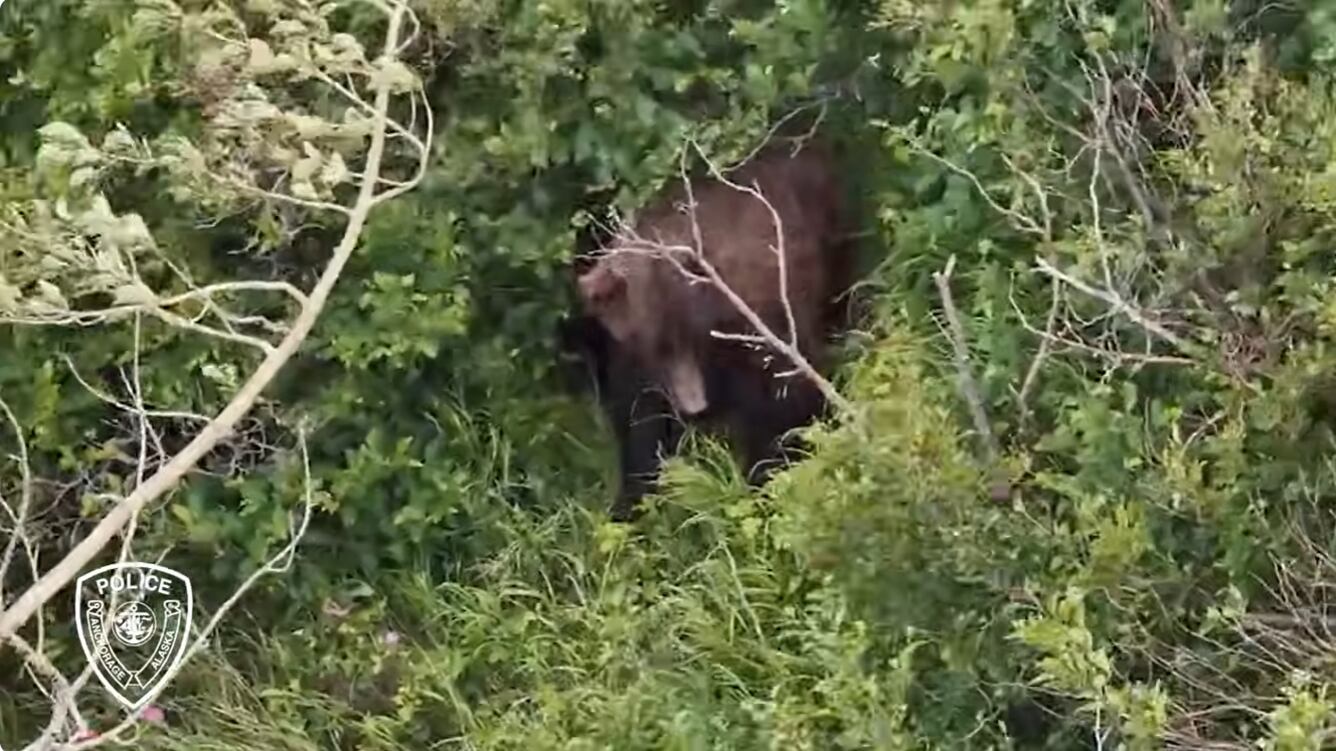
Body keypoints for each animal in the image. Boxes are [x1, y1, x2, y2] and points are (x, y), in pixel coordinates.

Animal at [566, 138, 854, 521]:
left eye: (691, 336)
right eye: (655, 346)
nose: (694, 407)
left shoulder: (756, 326)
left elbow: (784, 404)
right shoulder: (629, 360)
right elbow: (639, 427)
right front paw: (630, 505)